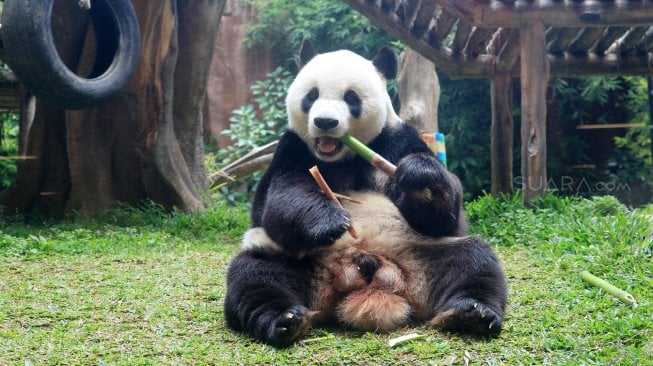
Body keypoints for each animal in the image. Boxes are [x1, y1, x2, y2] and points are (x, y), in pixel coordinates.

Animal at [225, 41, 510, 348]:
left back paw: (471, 314)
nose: (325, 122)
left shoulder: (397, 139)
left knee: (474, 262)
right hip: (294, 259)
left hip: (424, 253)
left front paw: (420, 178)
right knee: (256, 276)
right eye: (312, 95)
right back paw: (285, 319)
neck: (343, 156)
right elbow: (280, 199)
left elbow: (446, 217)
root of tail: (367, 273)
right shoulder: (292, 148)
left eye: (351, 98)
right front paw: (331, 223)